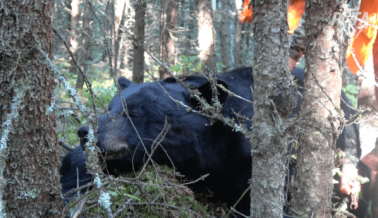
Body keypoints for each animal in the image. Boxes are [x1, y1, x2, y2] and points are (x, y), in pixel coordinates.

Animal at [60, 67, 368, 216]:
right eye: (109, 108)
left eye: (134, 113)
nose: (85, 131)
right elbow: (79, 164)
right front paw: (71, 188)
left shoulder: (248, 157)